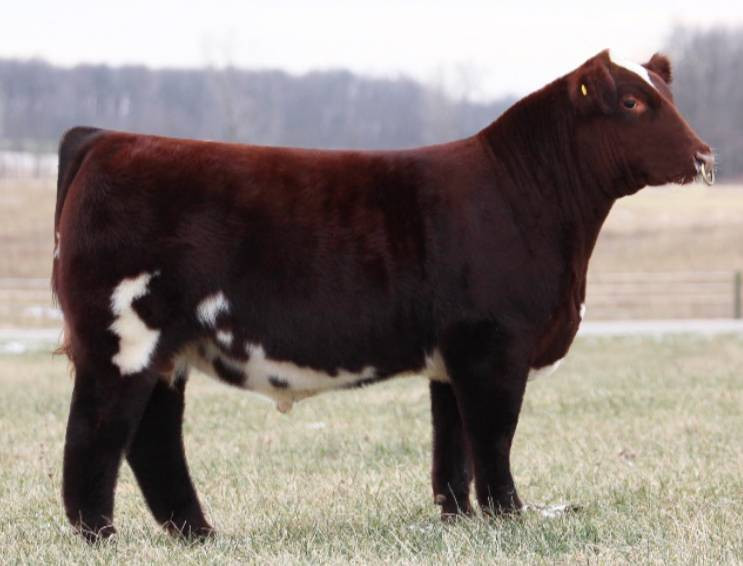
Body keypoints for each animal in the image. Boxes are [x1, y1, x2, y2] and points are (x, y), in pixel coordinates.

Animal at [52, 49, 714, 541]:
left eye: (669, 95)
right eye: (630, 101)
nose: (704, 154)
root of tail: (107, 137)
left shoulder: (453, 355)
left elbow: (453, 448)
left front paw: (461, 522)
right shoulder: (494, 343)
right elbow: (493, 438)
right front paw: (509, 517)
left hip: (164, 349)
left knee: (152, 438)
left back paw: (199, 535)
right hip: (122, 336)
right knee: (98, 432)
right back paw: (102, 537)